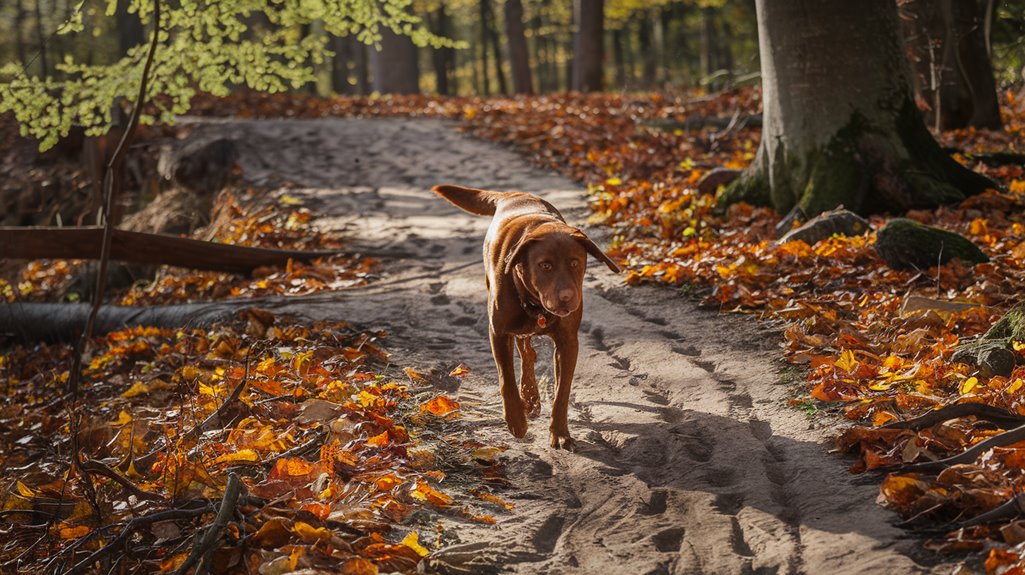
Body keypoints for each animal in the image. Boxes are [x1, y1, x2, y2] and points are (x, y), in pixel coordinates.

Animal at [430, 183, 615, 448]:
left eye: (574, 263)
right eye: (545, 265)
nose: (567, 297)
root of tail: (514, 194)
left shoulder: (568, 342)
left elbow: (562, 392)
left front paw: (560, 432)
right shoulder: (498, 332)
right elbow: (506, 378)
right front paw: (516, 421)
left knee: (529, 354)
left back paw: (531, 396)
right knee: (525, 353)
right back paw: (528, 398)